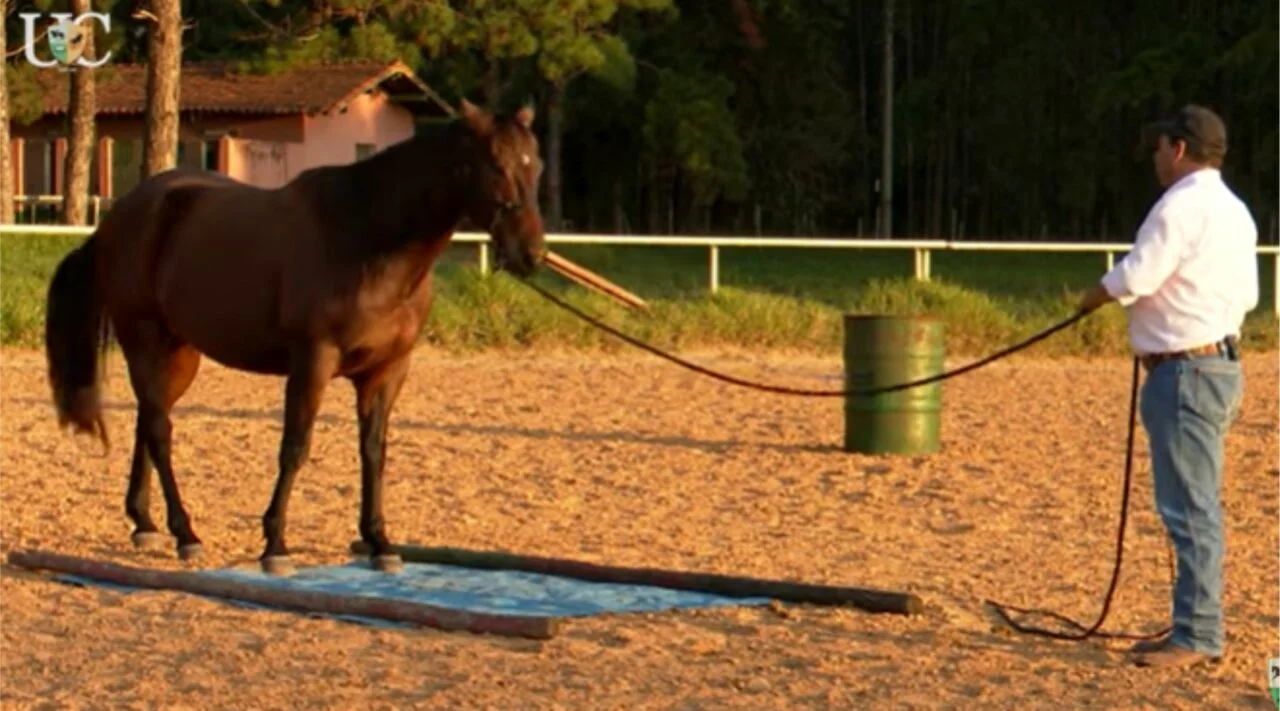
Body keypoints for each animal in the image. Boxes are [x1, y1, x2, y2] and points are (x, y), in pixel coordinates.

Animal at [42, 99, 546, 576]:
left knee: (148, 422)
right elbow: (295, 448)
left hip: (179, 354)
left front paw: (380, 543)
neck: (367, 237)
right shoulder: (313, 363)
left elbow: (374, 452)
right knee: (160, 432)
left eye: (536, 165)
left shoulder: (387, 370)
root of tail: (122, 215)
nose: (531, 254)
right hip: (145, 342)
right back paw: (186, 534)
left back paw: (145, 524)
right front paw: (275, 546)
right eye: (496, 164)